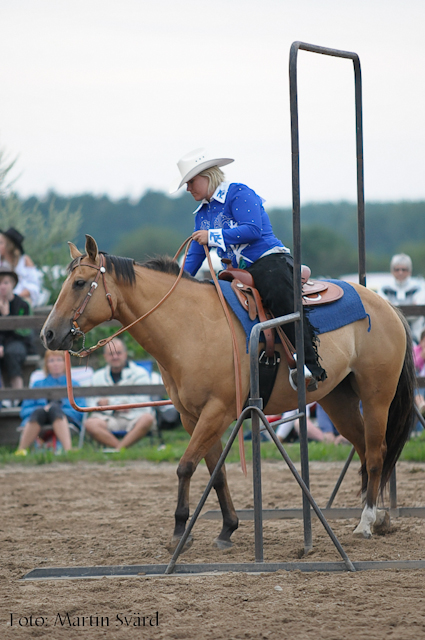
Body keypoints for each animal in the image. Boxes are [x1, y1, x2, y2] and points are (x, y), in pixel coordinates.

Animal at [40, 235, 414, 552]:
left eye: (78, 283)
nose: (48, 334)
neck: (189, 326)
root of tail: (385, 305)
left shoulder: (217, 411)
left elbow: (186, 466)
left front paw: (180, 532)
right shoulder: (193, 416)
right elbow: (215, 472)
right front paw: (227, 529)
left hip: (376, 397)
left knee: (377, 452)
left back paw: (366, 522)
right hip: (338, 400)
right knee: (364, 449)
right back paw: (378, 517)